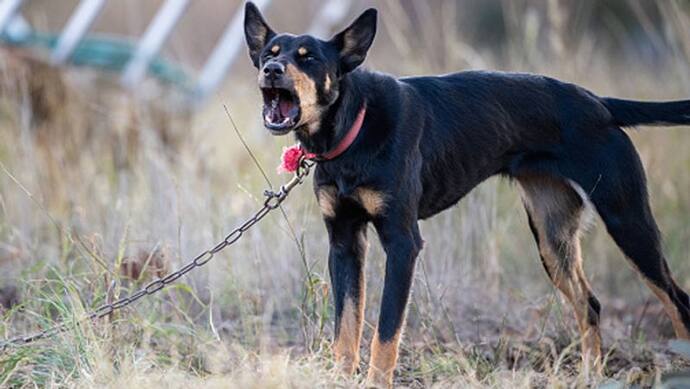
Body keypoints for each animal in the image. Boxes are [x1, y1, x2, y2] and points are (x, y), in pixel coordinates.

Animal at [243, 2, 688, 384]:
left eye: (308, 58)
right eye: (269, 52)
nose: (272, 70)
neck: (353, 128)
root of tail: (601, 104)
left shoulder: (403, 243)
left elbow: (385, 333)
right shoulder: (344, 242)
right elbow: (346, 330)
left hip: (627, 221)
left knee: (677, 301)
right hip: (552, 238)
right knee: (590, 305)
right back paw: (589, 378)